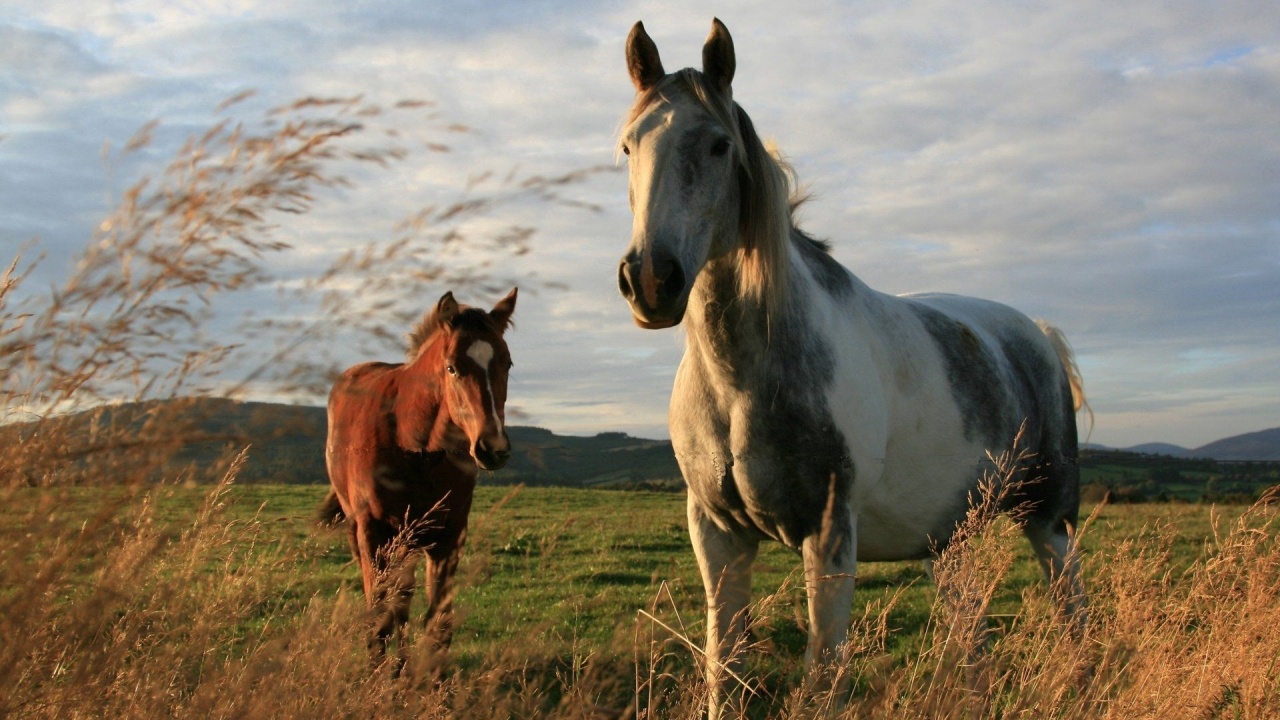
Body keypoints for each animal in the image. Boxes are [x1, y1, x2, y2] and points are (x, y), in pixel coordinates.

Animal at [614, 16, 1085, 712]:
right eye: (627, 147)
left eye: (720, 145)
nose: (650, 280)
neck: (740, 382)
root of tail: (1039, 336)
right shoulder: (717, 536)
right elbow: (725, 670)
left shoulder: (830, 536)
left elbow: (824, 678)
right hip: (949, 541)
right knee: (971, 634)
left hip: (1050, 521)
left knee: (1073, 616)